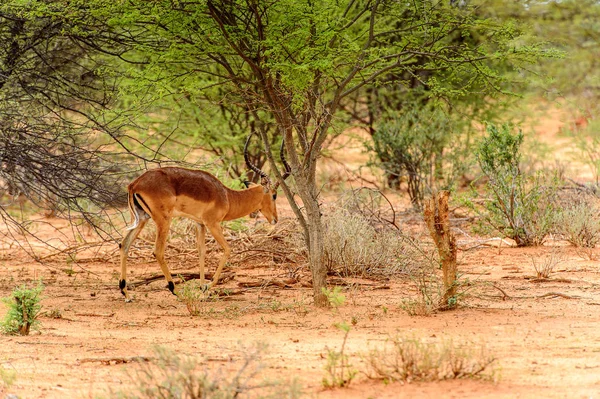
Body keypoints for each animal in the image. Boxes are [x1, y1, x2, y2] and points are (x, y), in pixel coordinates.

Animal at [118, 133, 290, 302]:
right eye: (274, 195)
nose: (275, 219)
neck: (227, 197)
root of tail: (134, 184)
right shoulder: (212, 223)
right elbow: (227, 249)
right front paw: (207, 287)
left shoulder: (199, 224)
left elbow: (202, 251)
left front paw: (202, 289)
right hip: (163, 221)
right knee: (158, 251)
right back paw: (177, 292)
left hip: (142, 218)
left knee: (124, 244)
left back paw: (126, 293)